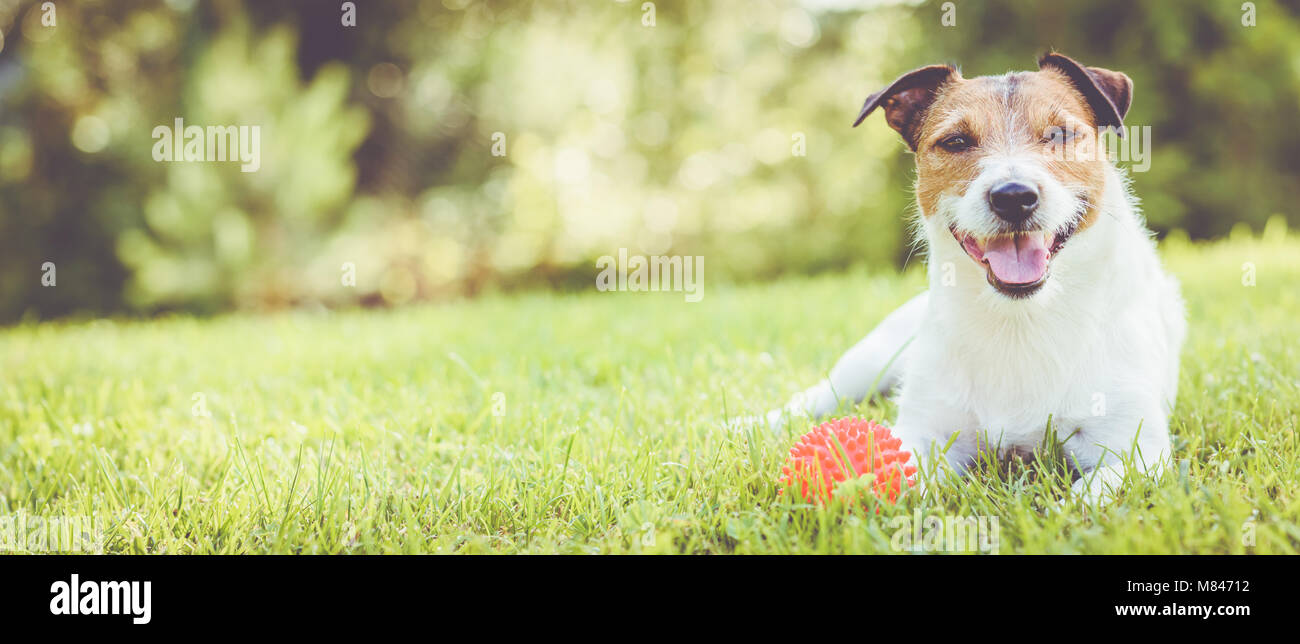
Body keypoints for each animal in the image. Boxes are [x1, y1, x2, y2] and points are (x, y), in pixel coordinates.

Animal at [764, 53, 1185, 504]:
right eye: (956, 142)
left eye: (1059, 134)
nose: (1014, 196)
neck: (1021, 319)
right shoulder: (923, 431)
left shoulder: (1136, 450)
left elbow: (1091, 493)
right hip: (869, 360)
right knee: (814, 397)